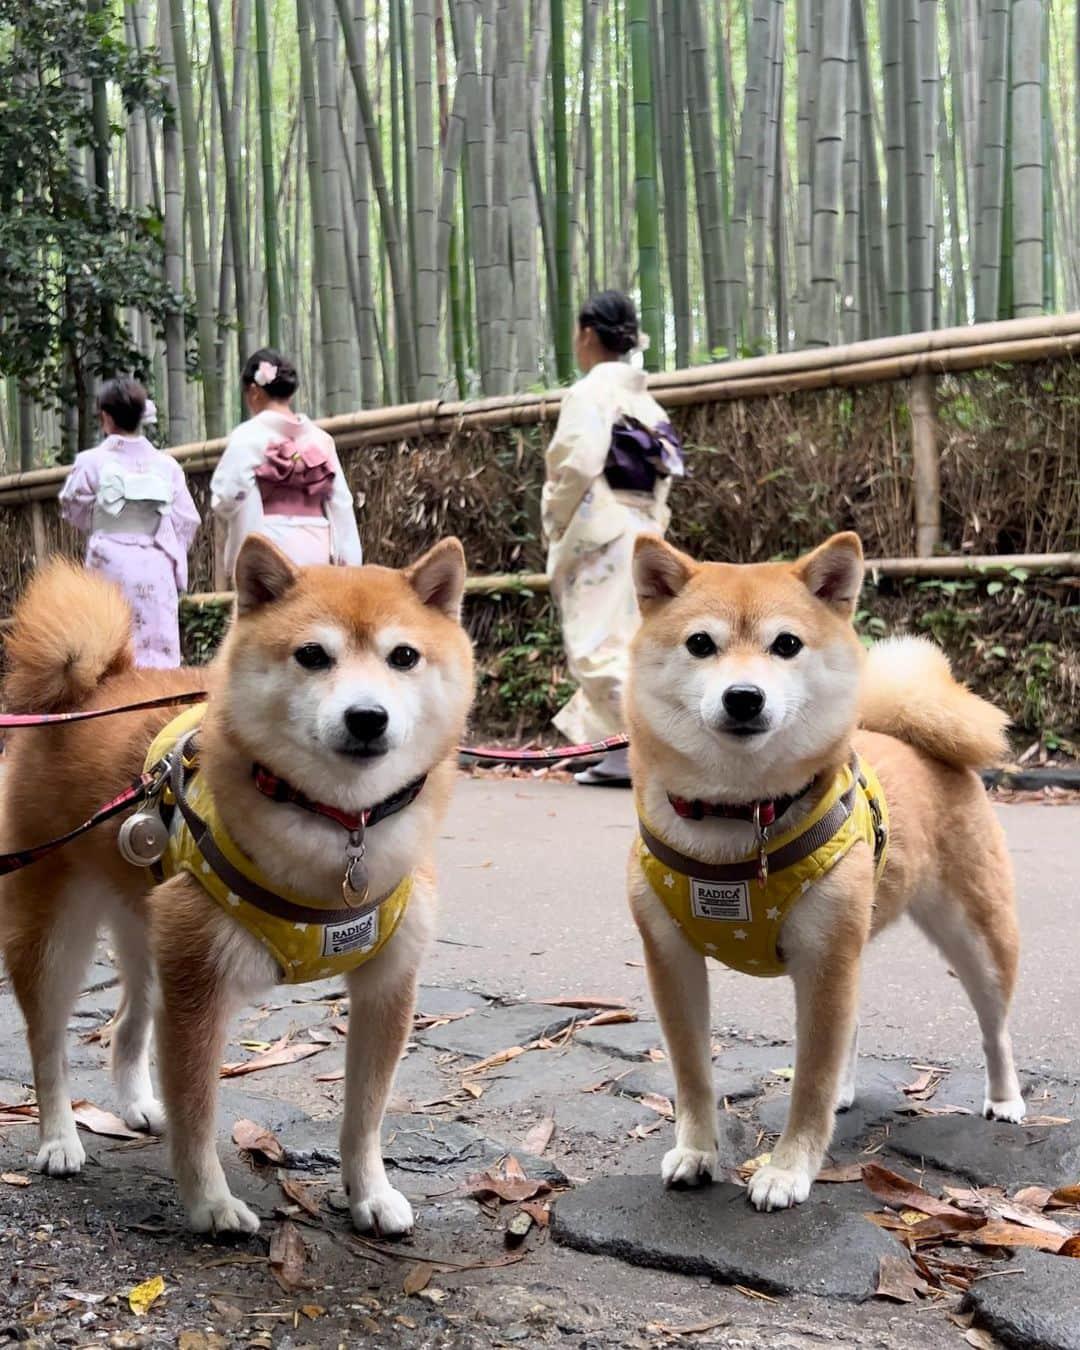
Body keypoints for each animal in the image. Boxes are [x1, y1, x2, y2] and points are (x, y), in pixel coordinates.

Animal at [1, 534, 472, 1236]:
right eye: (312, 655)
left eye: (404, 656)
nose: (367, 716)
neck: (337, 826)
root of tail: (93, 686)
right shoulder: (200, 990)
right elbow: (197, 1112)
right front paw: (210, 1203)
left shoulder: (387, 984)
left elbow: (365, 1113)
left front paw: (369, 1192)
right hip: (57, 933)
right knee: (48, 1044)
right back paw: (59, 1138)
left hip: (150, 931)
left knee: (128, 1022)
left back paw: (138, 1104)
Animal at [623, 529, 1020, 1215]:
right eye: (700, 644)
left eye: (786, 644)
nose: (744, 697)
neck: (738, 818)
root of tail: (908, 736)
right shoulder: (671, 958)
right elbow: (692, 1072)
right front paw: (699, 1151)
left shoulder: (824, 957)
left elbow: (808, 1078)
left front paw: (789, 1169)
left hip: (975, 937)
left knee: (994, 1026)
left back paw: (1005, 1099)